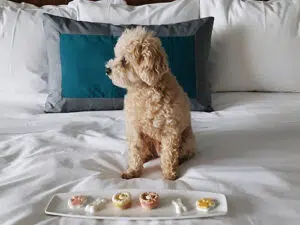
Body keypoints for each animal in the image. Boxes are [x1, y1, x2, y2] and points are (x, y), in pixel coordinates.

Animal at [106, 26, 196, 181]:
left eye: (124, 60)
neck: (144, 90)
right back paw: (145, 157)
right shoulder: (134, 129)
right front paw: (133, 171)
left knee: (184, 153)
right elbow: (135, 152)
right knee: (146, 152)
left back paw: (180, 160)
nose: (107, 70)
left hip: (187, 139)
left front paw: (170, 174)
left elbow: (169, 154)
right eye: (116, 56)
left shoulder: (170, 130)